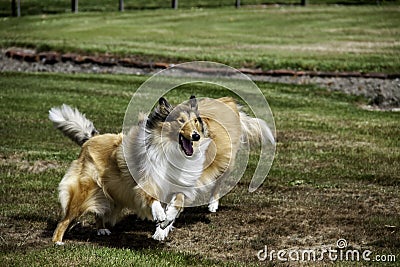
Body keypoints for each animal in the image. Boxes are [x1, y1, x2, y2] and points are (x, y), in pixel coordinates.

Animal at [49, 96, 276, 245]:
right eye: (180, 121)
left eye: (195, 121)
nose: (196, 136)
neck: (171, 150)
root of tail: (91, 139)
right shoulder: (146, 181)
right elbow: (153, 199)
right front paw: (159, 217)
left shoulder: (182, 186)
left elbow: (176, 205)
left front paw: (163, 226)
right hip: (85, 189)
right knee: (66, 218)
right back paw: (58, 240)